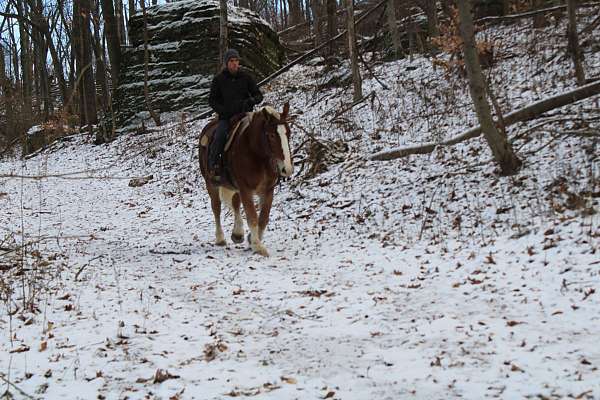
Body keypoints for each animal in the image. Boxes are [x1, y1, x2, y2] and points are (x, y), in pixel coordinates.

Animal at [199, 102, 292, 256]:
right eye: (272, 135)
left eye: (288, 133)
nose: (287, 169)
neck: (257, 155)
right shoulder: (246, 189)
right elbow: (252, 216)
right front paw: (257, 246)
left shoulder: (267, 190)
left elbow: (263, 218)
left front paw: (252, 239)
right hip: (211, 183)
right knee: (216, 208)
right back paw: (220, 238)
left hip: (234, 186)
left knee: (235, 204)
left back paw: (237, 234)